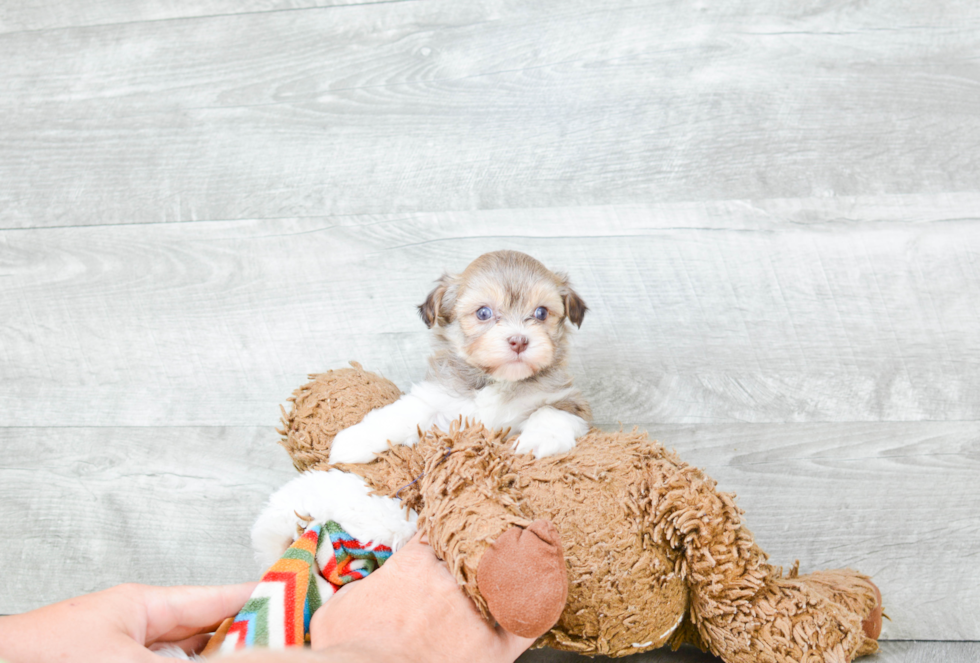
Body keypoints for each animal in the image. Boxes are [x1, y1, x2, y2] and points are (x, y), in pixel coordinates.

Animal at [330, 252, 588, 464]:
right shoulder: (438, 399)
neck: (496, 380)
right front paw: (354, 441)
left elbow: (550, 411)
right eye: (483, 313)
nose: (519, 340)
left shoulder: (569, 400)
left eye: (541, 313)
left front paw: (540, 439)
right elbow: (402, 414)